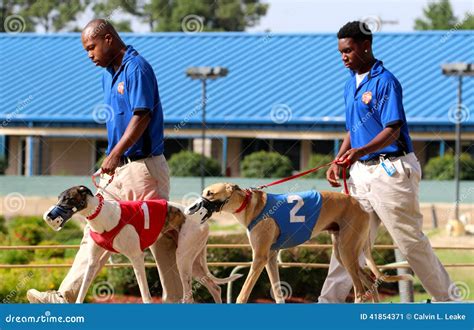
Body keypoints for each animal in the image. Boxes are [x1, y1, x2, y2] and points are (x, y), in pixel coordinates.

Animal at [42, 184, 239, 302]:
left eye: (68, 199)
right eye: (59, 198)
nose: (49, 216)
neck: (101, 215)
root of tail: (203, 221)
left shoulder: (136, 258)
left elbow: (145, 293)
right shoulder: (92, 262)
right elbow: (82, 288)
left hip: (183, 260)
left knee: (190, 295)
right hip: (193, 262)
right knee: (215, 287)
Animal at [185, 183, 412, 304]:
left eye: (210, 193)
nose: (192, 208)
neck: (250, 205)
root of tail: (361, 205)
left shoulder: (259, 258)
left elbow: (243, 293)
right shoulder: (270, 259)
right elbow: (278, 293)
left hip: (347, 253)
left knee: (359, 290)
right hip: (343, 253)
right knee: (370, 282)